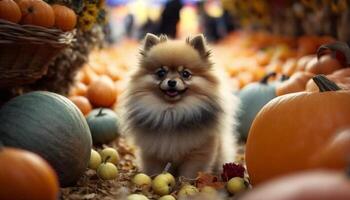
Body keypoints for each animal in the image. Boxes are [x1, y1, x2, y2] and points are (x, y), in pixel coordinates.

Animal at [121, 33, 239, 178]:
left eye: (186, 74)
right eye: (161, 73)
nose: (171, 82)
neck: (172, 112)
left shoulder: (198, 152)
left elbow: (190, 173)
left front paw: (186, 183)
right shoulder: (153, 152)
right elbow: (155, 170)